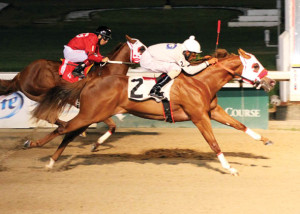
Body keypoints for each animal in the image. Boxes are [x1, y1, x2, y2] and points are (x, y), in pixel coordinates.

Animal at [0, 35, 145, 142]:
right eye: (142, 48)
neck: (107, 72)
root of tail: (20, 76)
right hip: (43, 94)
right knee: (45, 116)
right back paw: (68, 127)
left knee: (47, 116)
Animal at [29, 49, 276, 176]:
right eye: (255, 66)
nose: (272, 81)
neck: (200, 81)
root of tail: (90, 81)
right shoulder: (199, 116)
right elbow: (213, 142)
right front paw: (229, 167)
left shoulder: (213, 111)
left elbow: (240, 125)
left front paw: (265, 140)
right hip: (90, 114)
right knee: (63, 128)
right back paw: (33, 145)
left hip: (92, 115)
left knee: (69, 133)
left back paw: (52, 161)